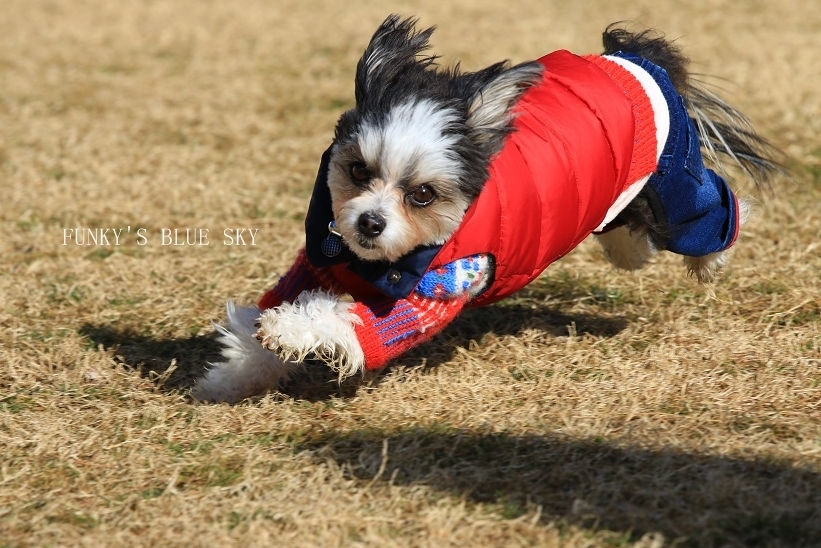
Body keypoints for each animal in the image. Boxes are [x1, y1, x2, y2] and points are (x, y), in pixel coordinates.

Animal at [191, 15, 776, 404]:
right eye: (358, 171)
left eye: (422, 195)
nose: (369, 223)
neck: (372, 263)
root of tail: (634, 56)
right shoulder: (320, 256)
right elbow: (268, 314)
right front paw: (230, 377)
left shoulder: (438, 287)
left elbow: (355, 322)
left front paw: (290, 332)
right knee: (628, 234)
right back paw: (629, 246)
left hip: (672, 179)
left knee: (708, 210)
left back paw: (711, 260)